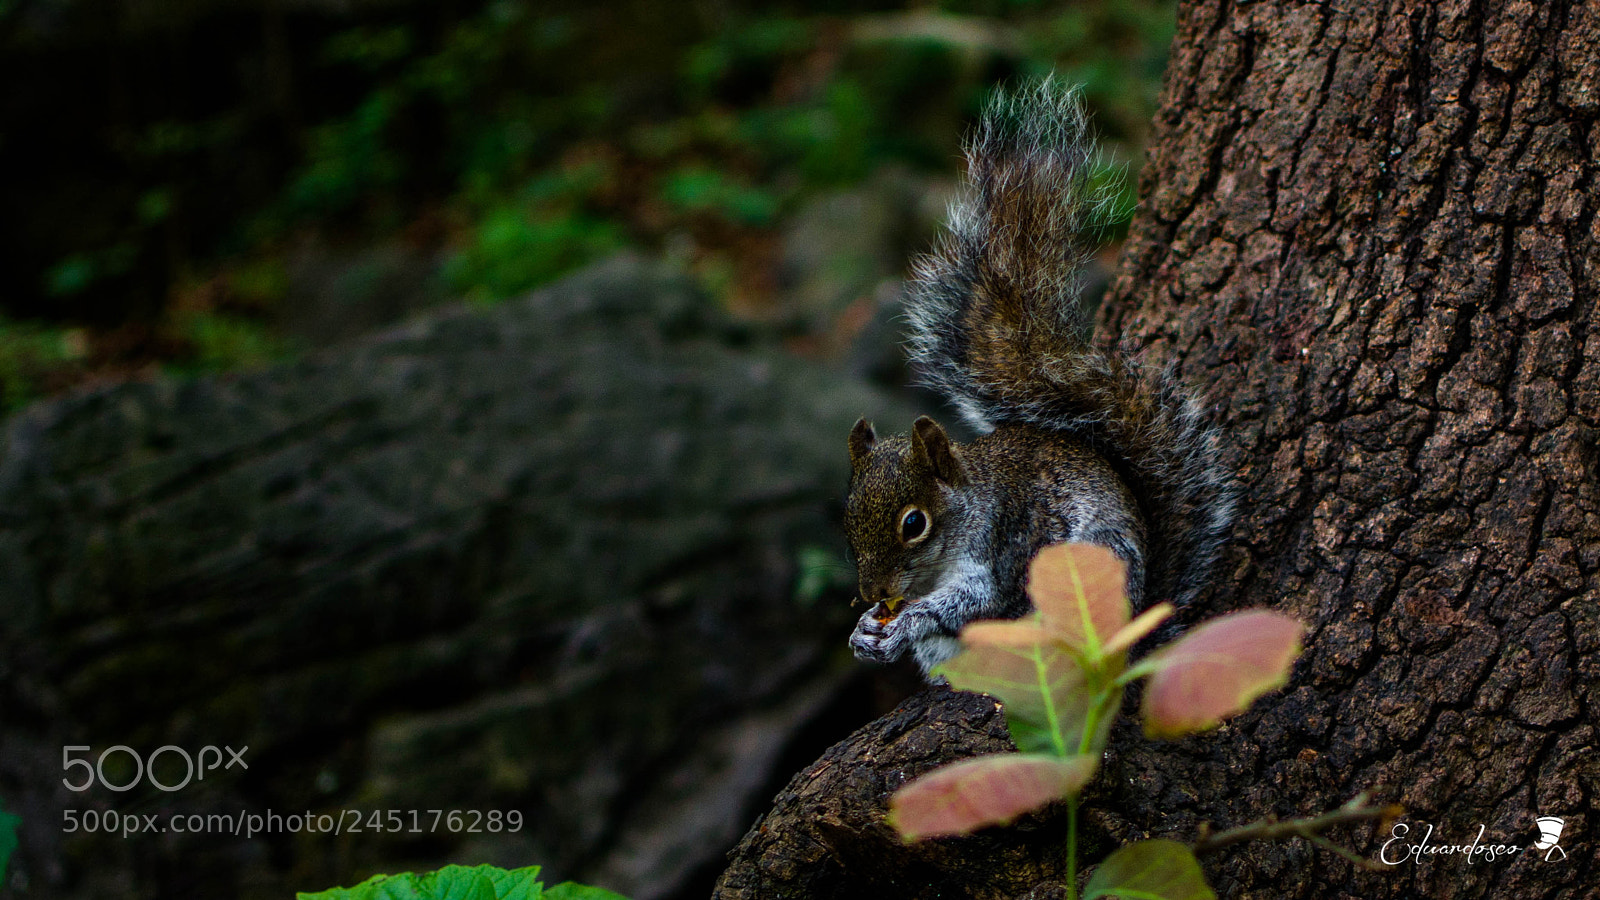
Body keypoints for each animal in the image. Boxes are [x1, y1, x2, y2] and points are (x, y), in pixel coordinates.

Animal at [844, 80, 1236, 675]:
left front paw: (908, 618)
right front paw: (866, 630)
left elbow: (974, 600)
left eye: (914, 524)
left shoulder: (1005, 542)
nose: (874, 593)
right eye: (847, 516)